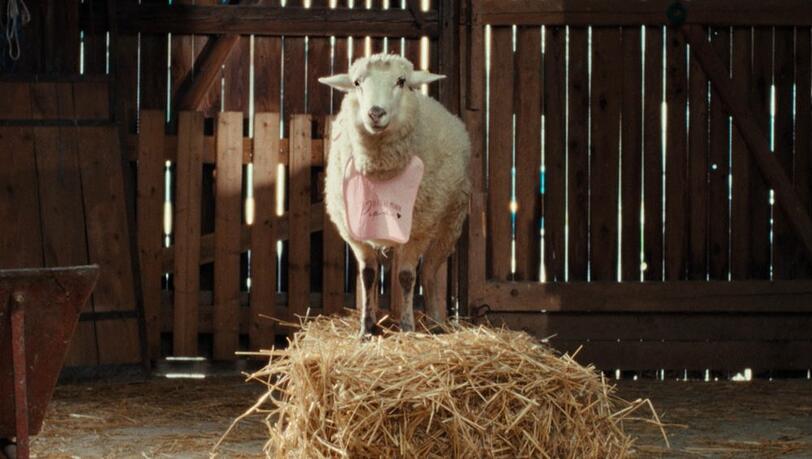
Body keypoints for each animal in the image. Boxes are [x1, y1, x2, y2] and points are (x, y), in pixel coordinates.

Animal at [319, 53, 471, 336]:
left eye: (401, 81)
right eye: (356, 83)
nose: (375, 113)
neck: (380, 170)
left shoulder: (420, 227)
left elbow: (407, 277)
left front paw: (408, 327)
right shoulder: (353, 230)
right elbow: (368, 275)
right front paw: (366, 328)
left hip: (450, 220)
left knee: (429, 272)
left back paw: (435, 322)